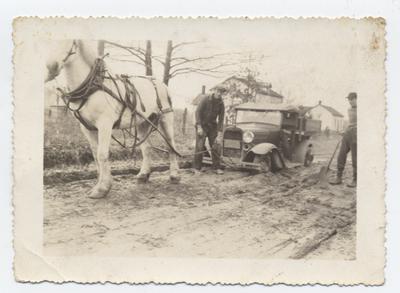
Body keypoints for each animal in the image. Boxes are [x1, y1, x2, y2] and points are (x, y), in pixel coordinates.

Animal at [45, 39, 180, 198]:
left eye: (71, 41)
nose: (51, 67)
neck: (93, 87)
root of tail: (160, 83)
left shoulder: (105, 125)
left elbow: (102, 154)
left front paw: (102, 188)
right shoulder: (87, 128)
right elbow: (95, 156)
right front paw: (100, 184)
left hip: (166, 118)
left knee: (171, 146)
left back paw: (174, 175)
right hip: (142, 123)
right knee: (147, 148)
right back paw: (143, 175)